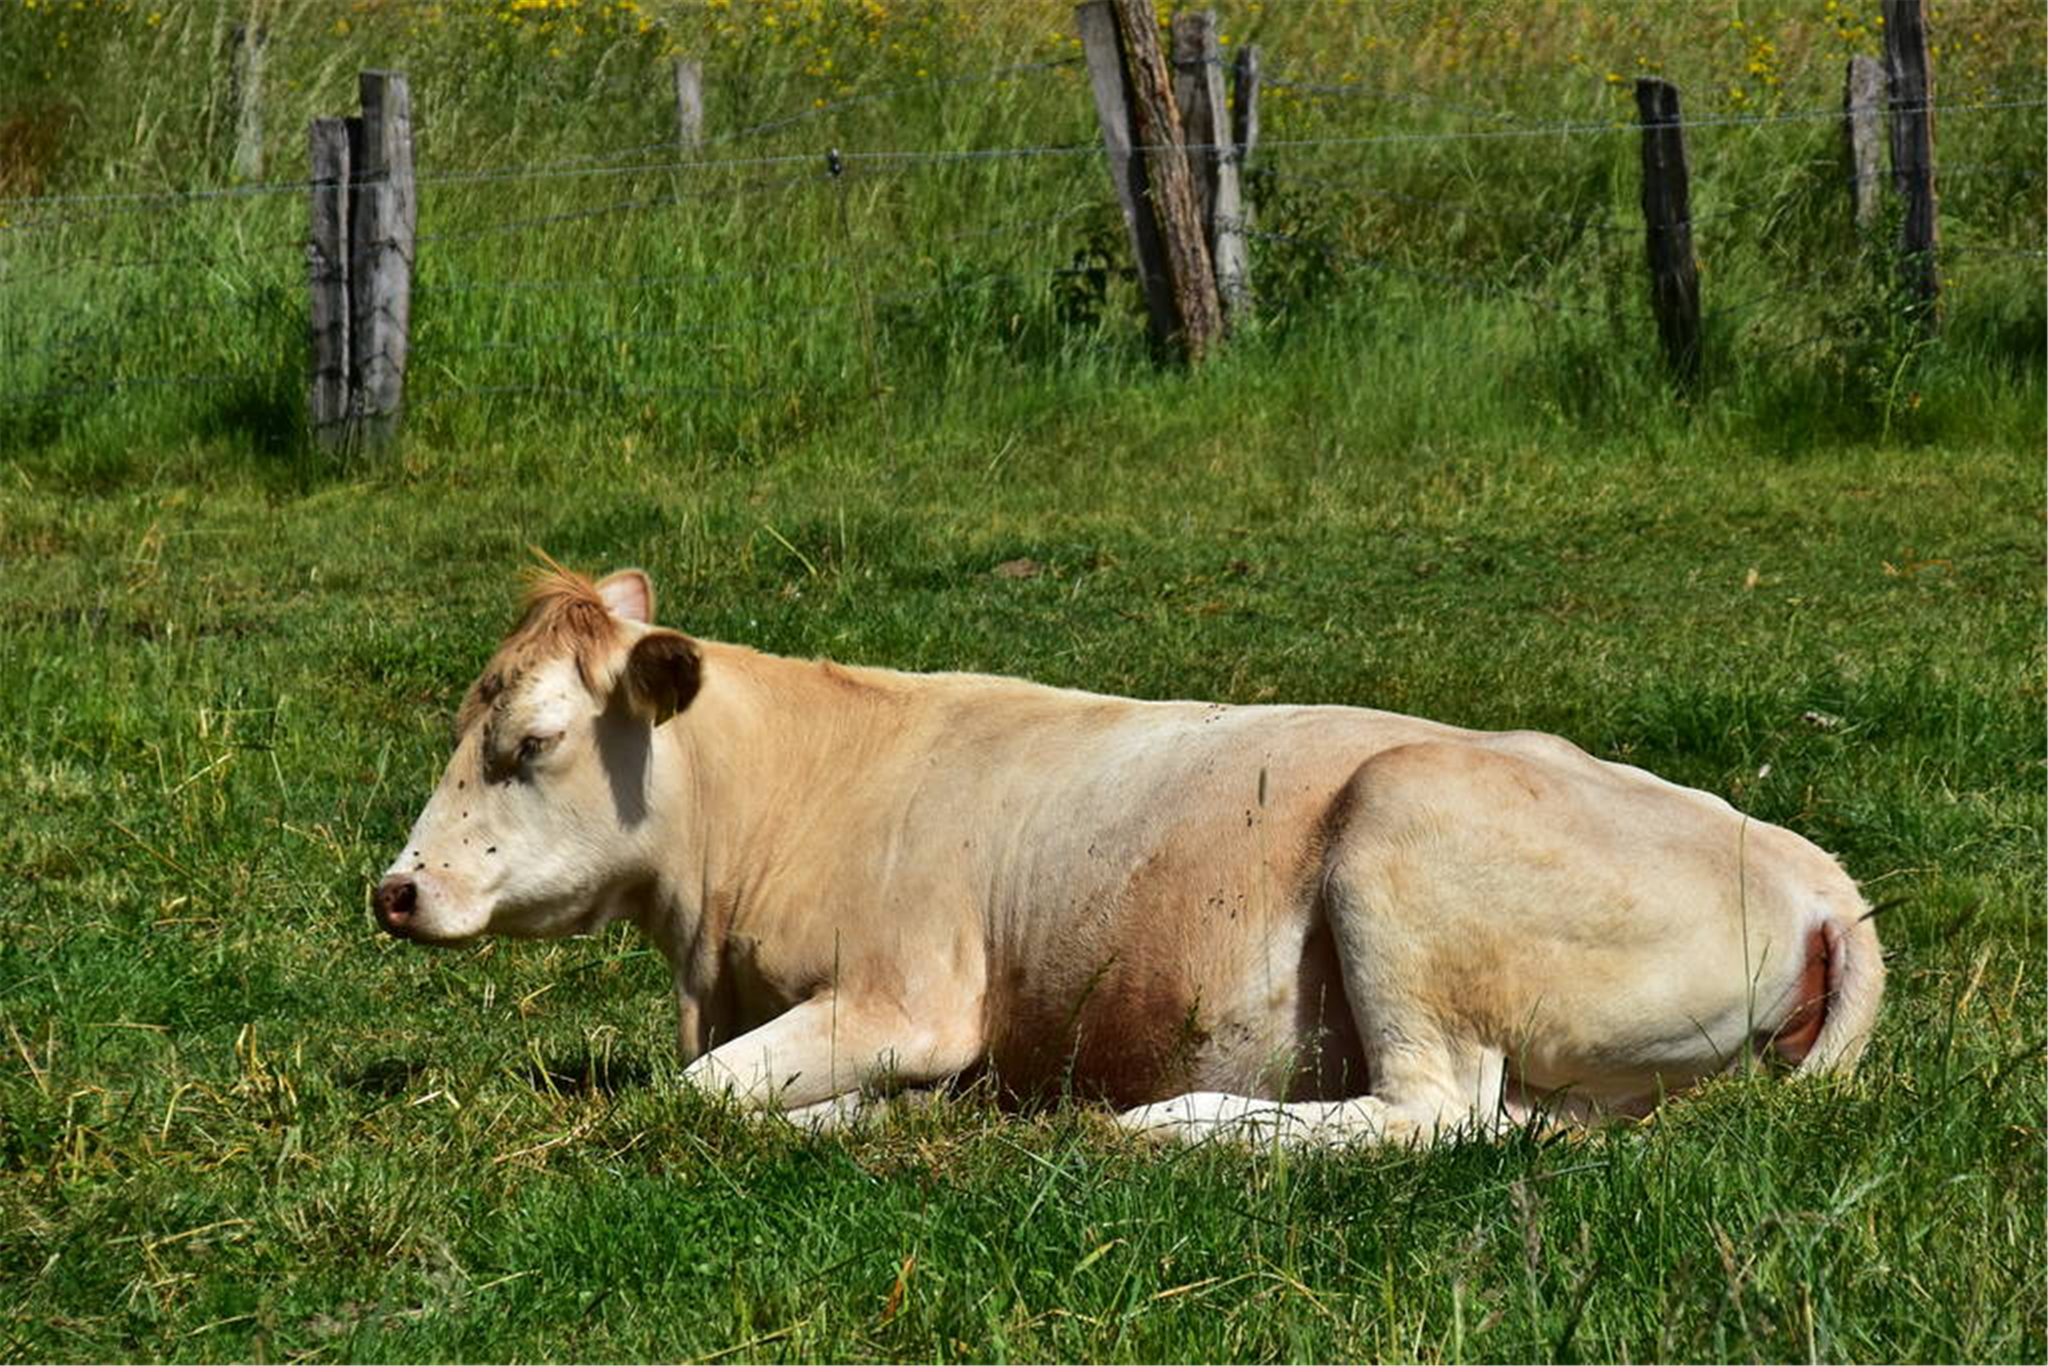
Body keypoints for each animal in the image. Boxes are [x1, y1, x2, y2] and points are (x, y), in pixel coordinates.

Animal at [372, 561, 1884, 1146]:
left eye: (530, 742)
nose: (396, 889)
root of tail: (1809, 869)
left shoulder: (909, 996)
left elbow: (696, 1096)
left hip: (1403, 838)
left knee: (1430, 1111)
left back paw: (1172, 1126)